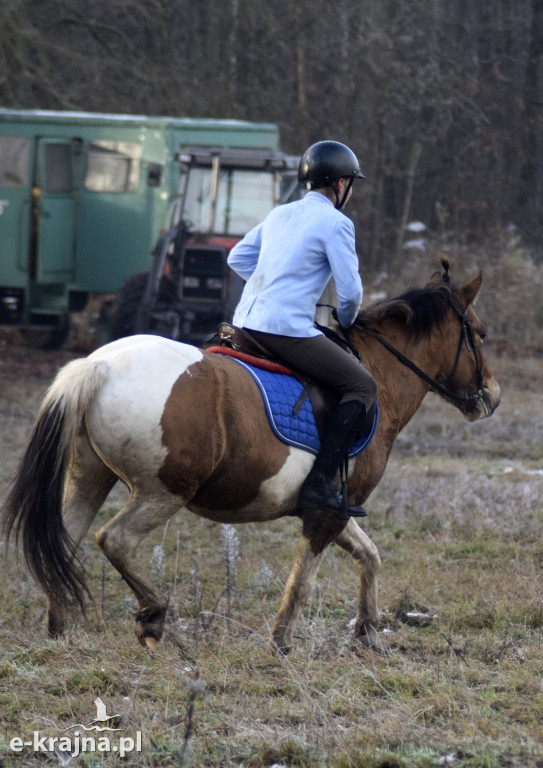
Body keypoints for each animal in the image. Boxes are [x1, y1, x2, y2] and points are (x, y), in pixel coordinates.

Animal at [2, 260, 502, 652]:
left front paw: (368, 632)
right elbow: (303, 581)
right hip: (164, 491)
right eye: (479, 334)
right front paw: (281, 642)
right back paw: (154, 615)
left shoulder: (334, 508)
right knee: (116, 540)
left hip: (89, 478)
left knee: (64, 540)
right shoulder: (328, 514)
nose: (492, 397)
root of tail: (99, 365)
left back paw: (60, 625)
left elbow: (370, 556)